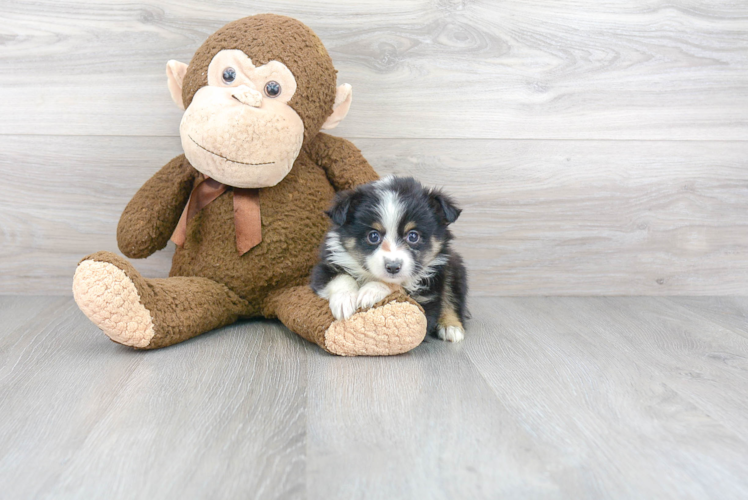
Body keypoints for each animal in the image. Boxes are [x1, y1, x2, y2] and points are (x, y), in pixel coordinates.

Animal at [310, 176, 468, 344]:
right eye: (373, 236)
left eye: (413, 236)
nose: (393, 267)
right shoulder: (324, 266)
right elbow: (341, 278)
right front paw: (344, 300)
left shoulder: (427, 298)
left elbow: (398, 287)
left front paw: (371, 291)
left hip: (454, 267)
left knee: (451, 297)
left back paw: (450, 326)